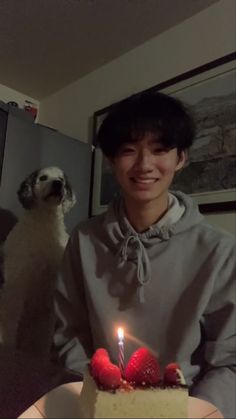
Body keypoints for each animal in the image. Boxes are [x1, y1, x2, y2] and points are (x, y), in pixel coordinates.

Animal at [0, 167, 75, 358]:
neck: (46, 223)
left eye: (62, 180)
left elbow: (44, 342)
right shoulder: (15, 286)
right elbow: (9, 325)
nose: (58, 184)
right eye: (43, 178)